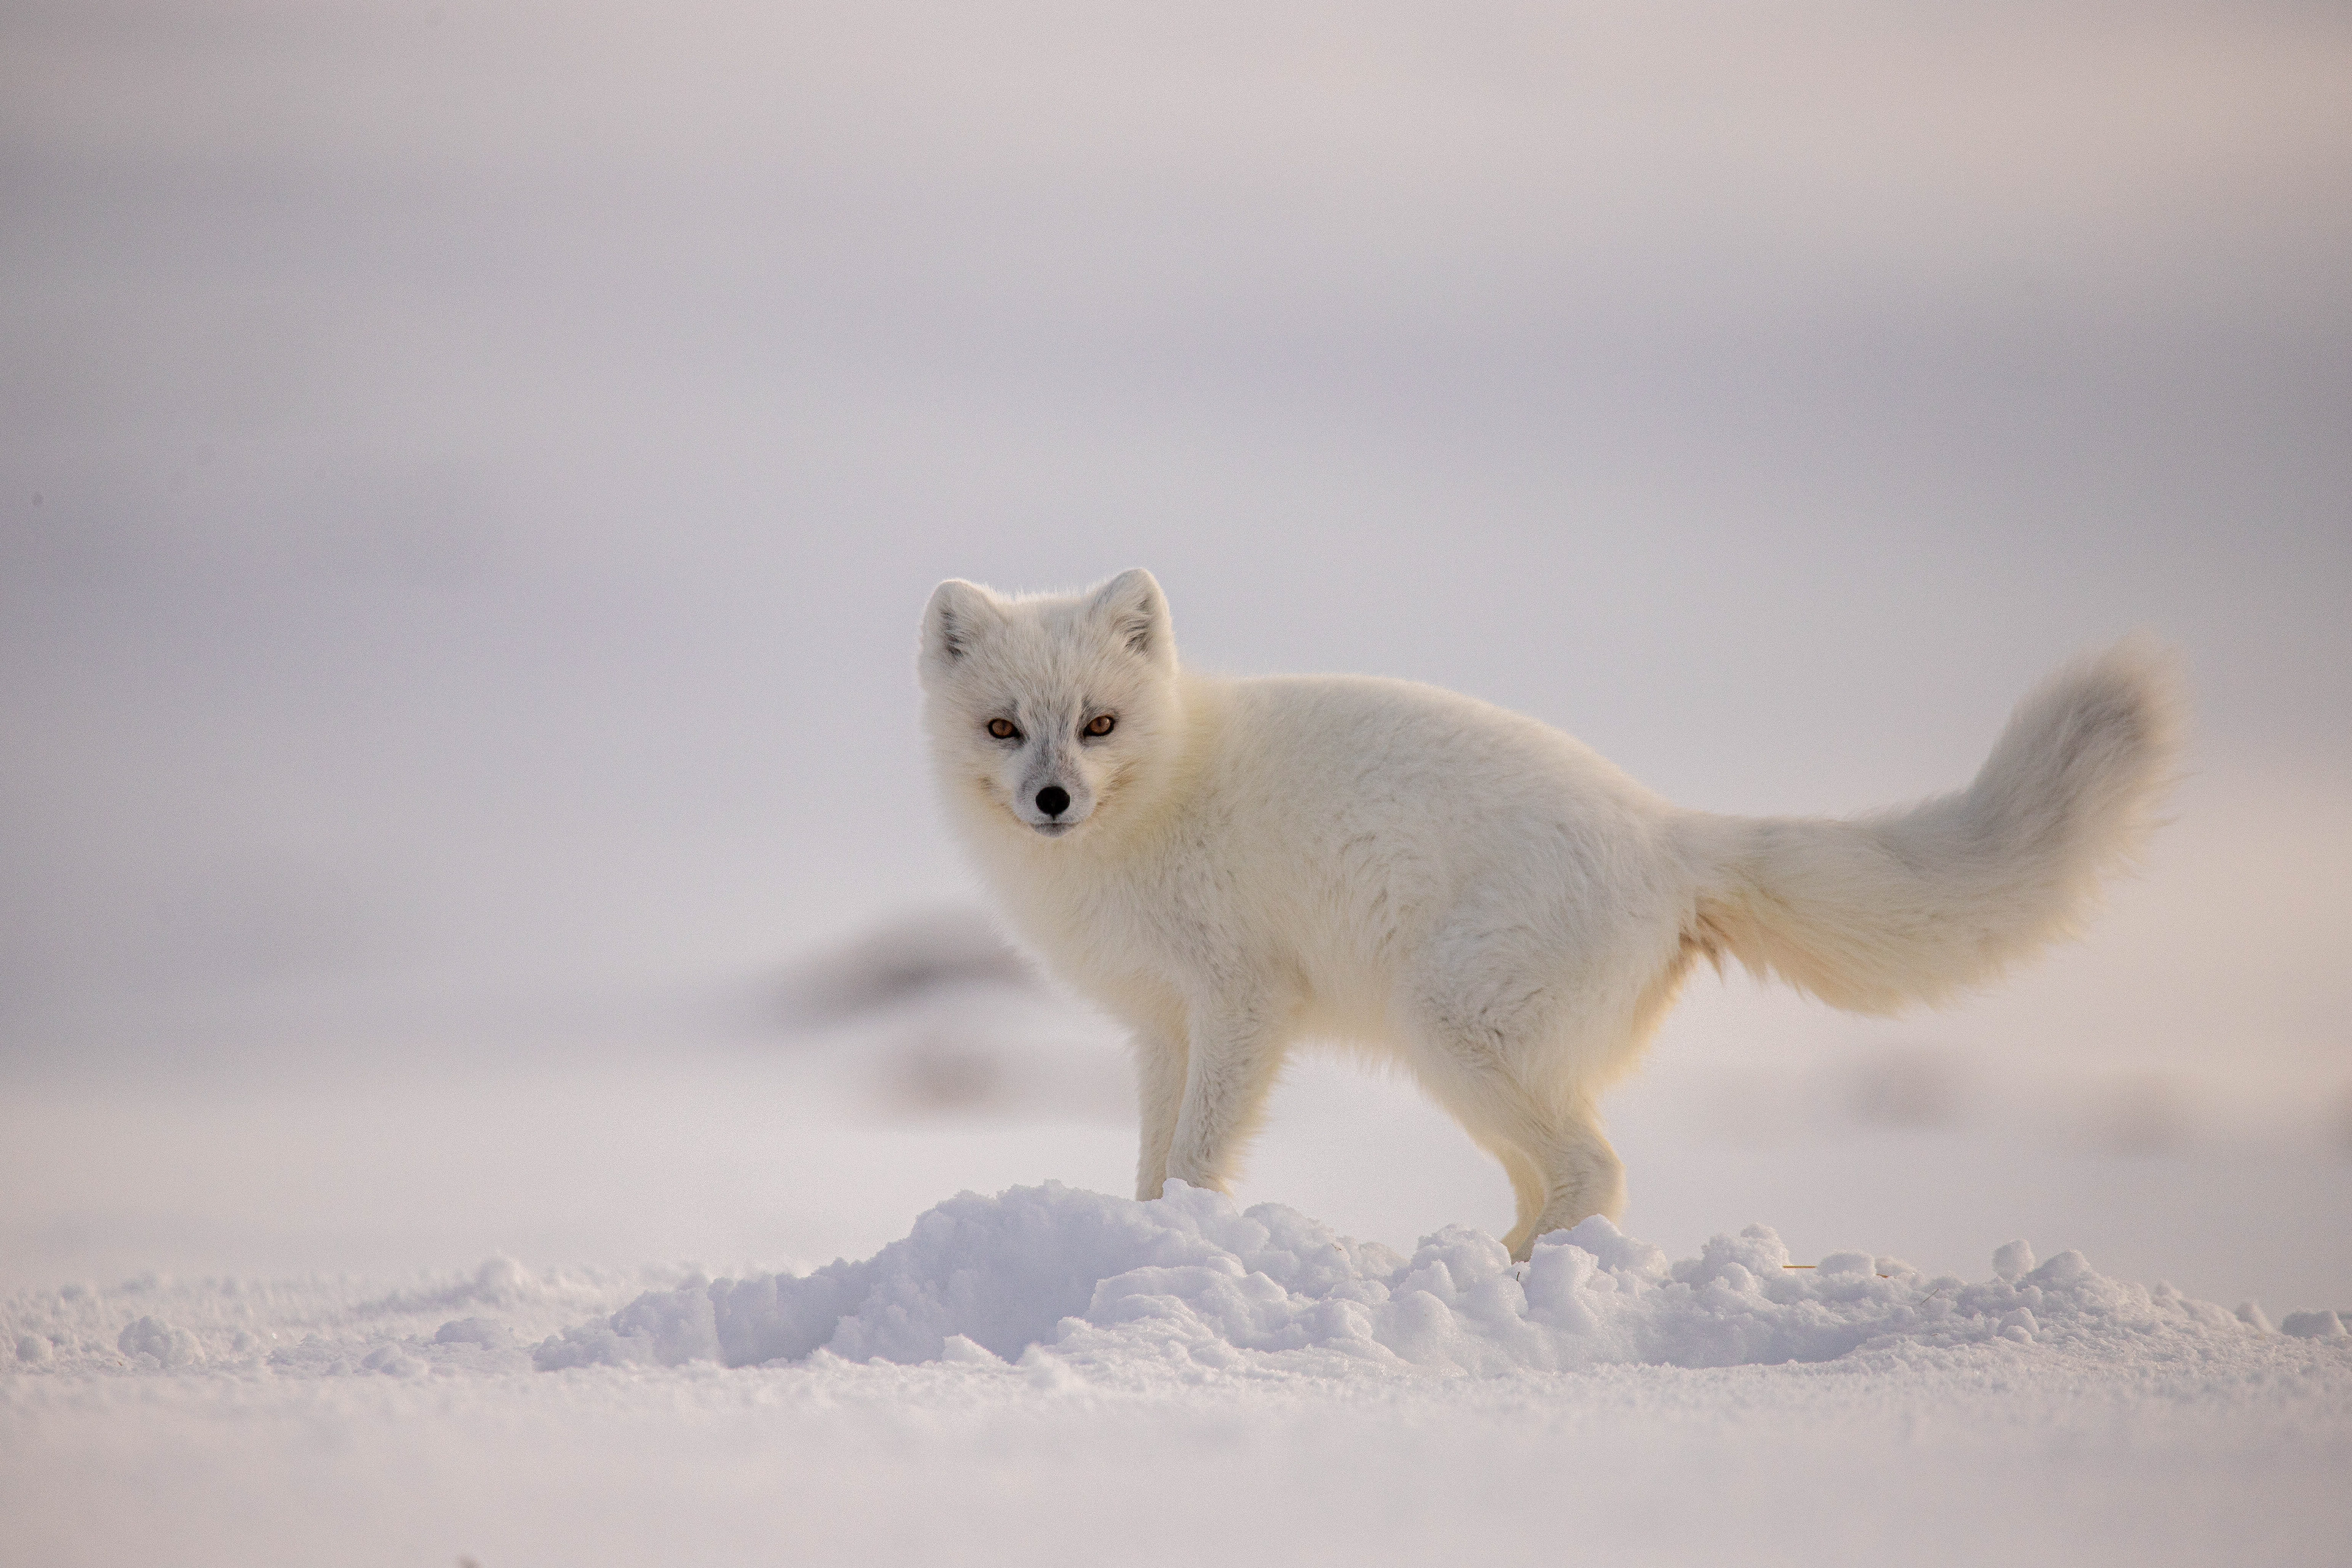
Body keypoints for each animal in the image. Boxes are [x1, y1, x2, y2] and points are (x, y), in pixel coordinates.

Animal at [918, 569, 2182, 1259]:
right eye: (1004, 728)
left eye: (1099, 724)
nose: (1052, 800)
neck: (1164, 793)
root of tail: (1669, 831)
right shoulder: (1159, 1027)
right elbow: (1150, 1158)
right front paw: (1135, 1239)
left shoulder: (1241, 1001)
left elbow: (1194, 1156)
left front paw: (1176, 1236)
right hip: (1474, 1061)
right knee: (1556, 1178)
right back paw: (1507, 1265)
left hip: (1454, 1028)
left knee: (1596, 1171)